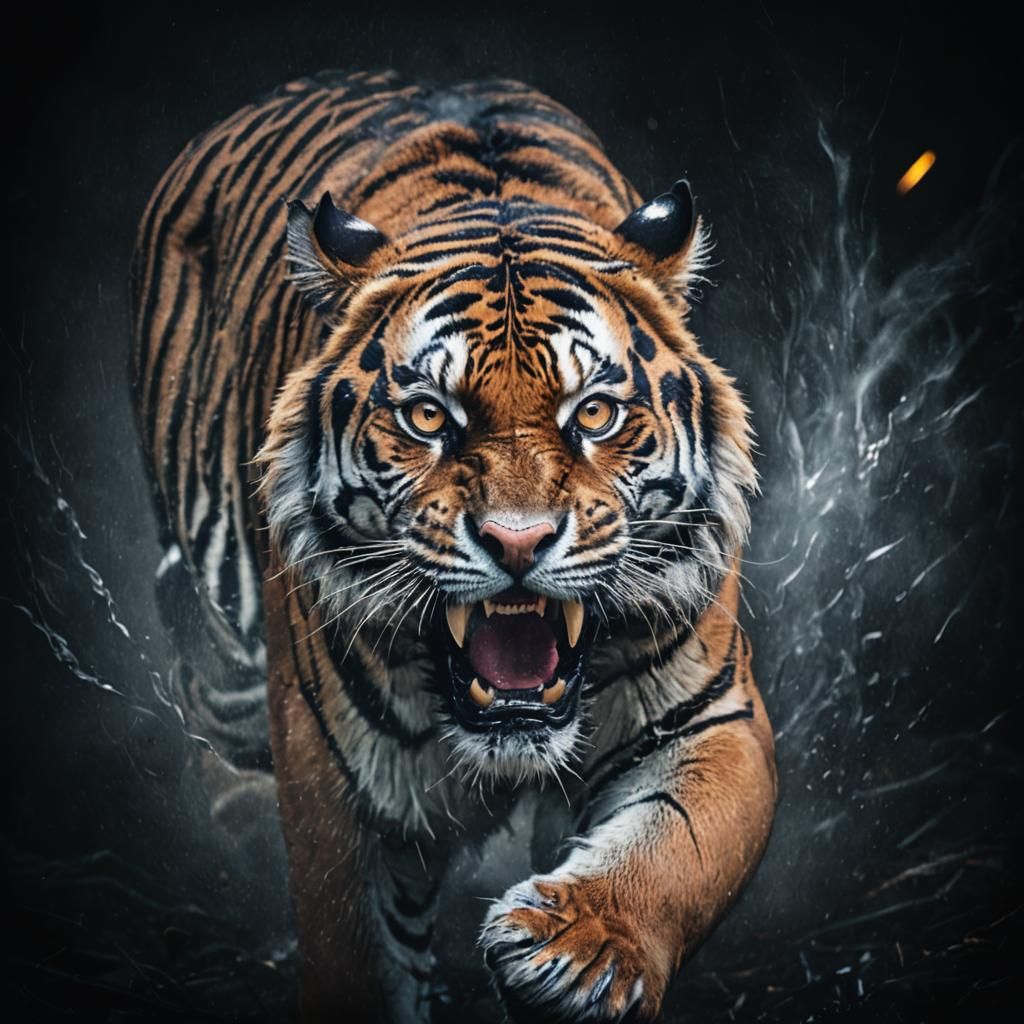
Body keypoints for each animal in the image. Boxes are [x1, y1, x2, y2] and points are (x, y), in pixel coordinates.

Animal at [130, 69, 777, 1022]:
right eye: (430, 417)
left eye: (594, 413)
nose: (518, 540)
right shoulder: (336, 782)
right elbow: (358, 955)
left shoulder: (710, 716)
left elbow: (677, 851)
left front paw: (576, 950)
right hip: (229, 664)